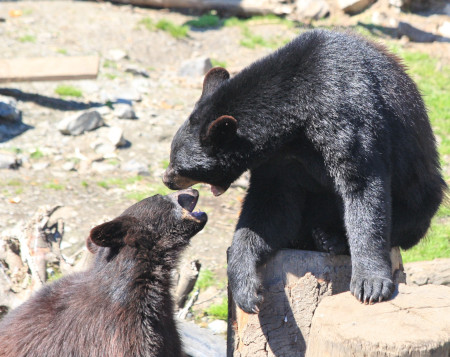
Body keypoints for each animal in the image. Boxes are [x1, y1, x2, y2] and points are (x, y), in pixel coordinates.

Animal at [163, 29, 446, 312]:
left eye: (180, 166)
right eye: (173, 157)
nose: (167, 179)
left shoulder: (346, 111)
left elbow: (363, 185)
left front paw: (370, 283)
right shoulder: (278, 162)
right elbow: (270, 205)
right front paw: (245, 284)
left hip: (422, 190)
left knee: (412, 213)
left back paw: (331, 238)